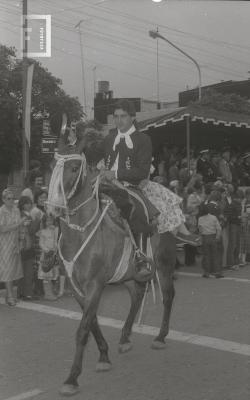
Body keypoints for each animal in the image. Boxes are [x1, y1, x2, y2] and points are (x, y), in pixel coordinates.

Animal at [47, 136, 177, 396]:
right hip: (127, 275)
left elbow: (83, 328)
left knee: (168, 296)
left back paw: (160, 337)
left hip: (163, 265)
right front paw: (104, 356)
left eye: (74, 168)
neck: (81, 232)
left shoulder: (95, 285)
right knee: (137, 295)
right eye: (52, 166)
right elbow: (92, 322)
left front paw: (72, 378)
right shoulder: (78, 288)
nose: (53, 207)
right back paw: (125, 338)